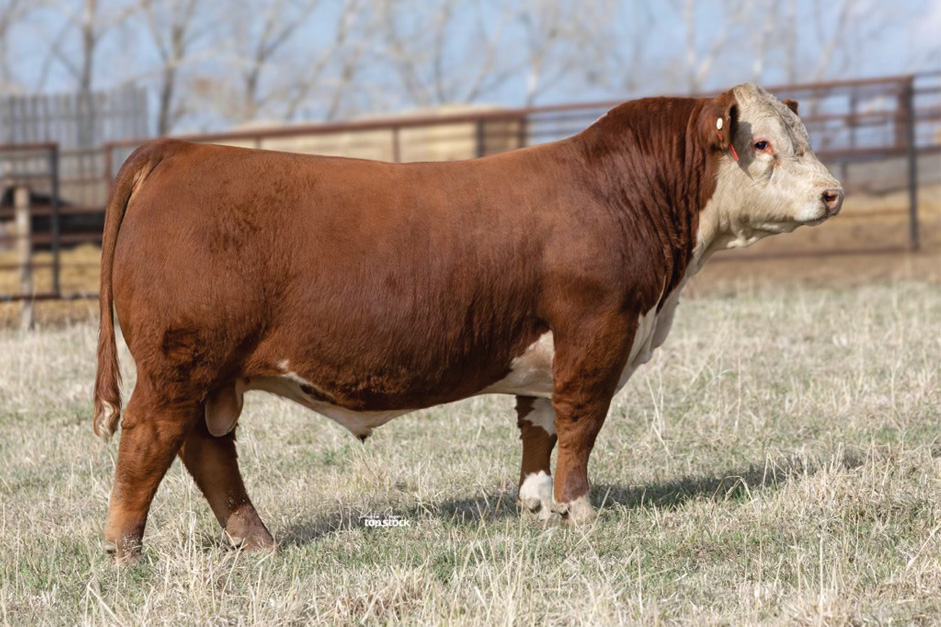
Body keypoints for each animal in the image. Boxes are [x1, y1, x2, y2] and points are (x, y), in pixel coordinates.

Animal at [95, 82, 844, 560]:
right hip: (178, 363)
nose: (832, 193)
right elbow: (580, 425)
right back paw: (126, 551)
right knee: (148, 441)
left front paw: (539, 505)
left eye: (800, 137)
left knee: (205, 450)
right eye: (763, 144)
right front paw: (580, 511)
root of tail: (178, 150)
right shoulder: (596, 331)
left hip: (208, 373)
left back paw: (256, 541)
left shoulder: (548, 354)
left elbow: (539, 429)